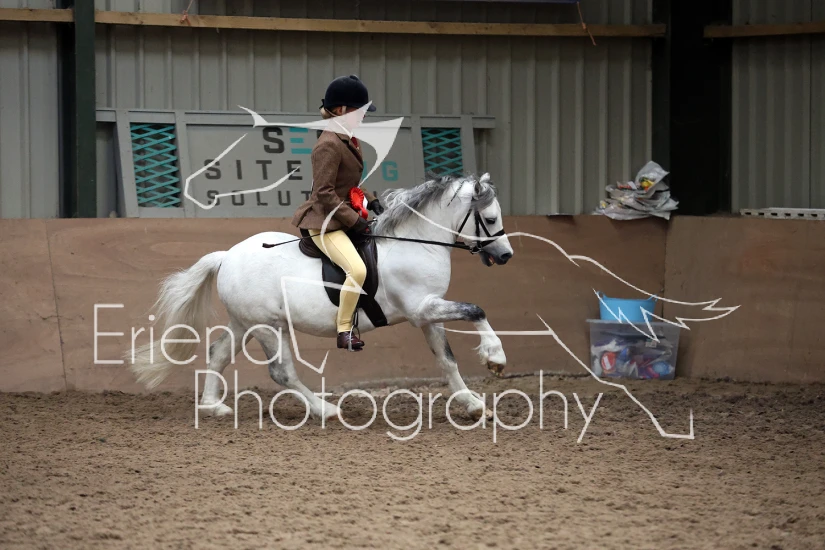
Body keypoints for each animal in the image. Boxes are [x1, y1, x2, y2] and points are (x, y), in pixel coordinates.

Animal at [128, 173, 514, 422]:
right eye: (491, 217)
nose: (506, 255)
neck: (414, 242)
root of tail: (226, 256)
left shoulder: (428, 313)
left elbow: (447, 360)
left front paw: (473, 405)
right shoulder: (423, 308)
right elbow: (476, 309)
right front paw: (495, 358)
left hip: (245, 322)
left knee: (218, 353)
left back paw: (212, 406)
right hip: (269, 327)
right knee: (282, 372)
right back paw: (323, 410)